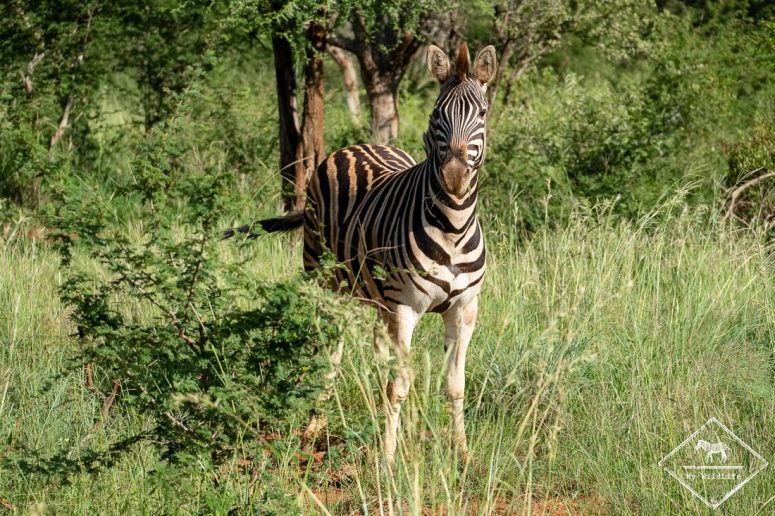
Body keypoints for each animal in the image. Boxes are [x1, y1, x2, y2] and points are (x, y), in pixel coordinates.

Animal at [229, 42, 497, 463]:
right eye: (437, 113)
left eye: (482, 113)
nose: (454, 178)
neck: (453, 226)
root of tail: (358, 145)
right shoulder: (404, 307)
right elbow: (398, 386)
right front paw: (387, 459)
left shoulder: (464, 308)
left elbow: (456, 384)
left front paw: (463, 454)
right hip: (325, 282)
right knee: (330, 353)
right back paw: (315, 427)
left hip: (376, 299)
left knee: (376, 357)